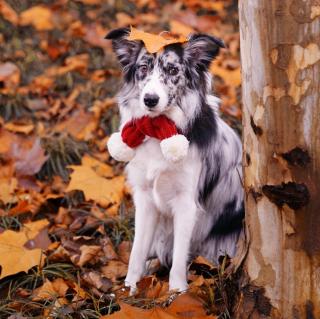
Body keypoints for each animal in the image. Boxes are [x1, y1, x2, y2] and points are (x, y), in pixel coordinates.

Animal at [106, 28, 244, 294]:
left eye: (172, 70)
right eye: (143, 68)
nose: (150, 99)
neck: (159, 130)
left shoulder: (186, 203)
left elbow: (180, 255)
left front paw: (177, 292)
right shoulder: (146, 198)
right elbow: (137, 250)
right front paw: (129, 287)